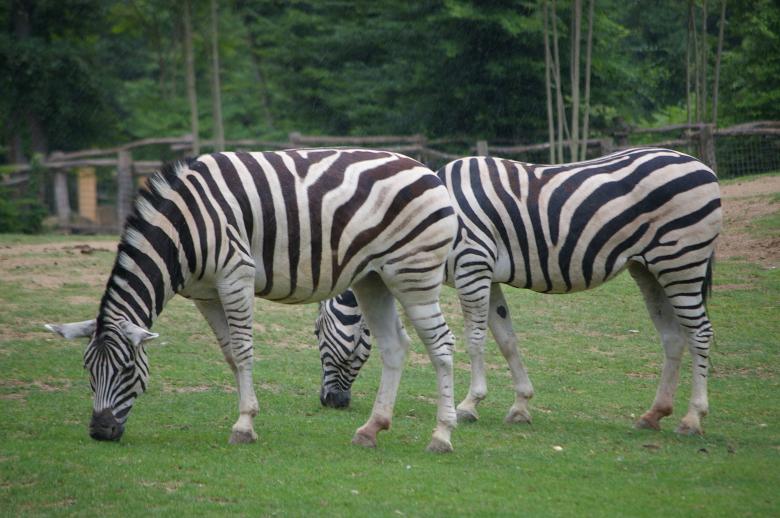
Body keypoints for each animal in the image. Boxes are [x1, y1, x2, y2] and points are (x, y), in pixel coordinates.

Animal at [46, 149, 461, 453]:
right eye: (87, 369)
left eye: (128, 369)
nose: (100, 431)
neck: (182, 230)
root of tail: (427, 170)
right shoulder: (204, 293)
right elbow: (230, 354)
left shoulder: (235, 275)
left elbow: (244, 351)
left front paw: (244, 426)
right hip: (374, 279)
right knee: (394, 346)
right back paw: (371, 429)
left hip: (414, 274)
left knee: (442, 345)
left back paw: (442, 436)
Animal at [316, 148, 722, 436]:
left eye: (317, 333)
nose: (329, 402)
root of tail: (702, 166)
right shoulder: (488, 276)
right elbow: (506, 338)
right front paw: (521, 406)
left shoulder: (472, 266)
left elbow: (475, 339)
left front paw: (468, 405)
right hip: (649, 268)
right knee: (673, 336)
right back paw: (654, 414)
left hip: (682, 260)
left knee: (700, 333)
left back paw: (693, 418)